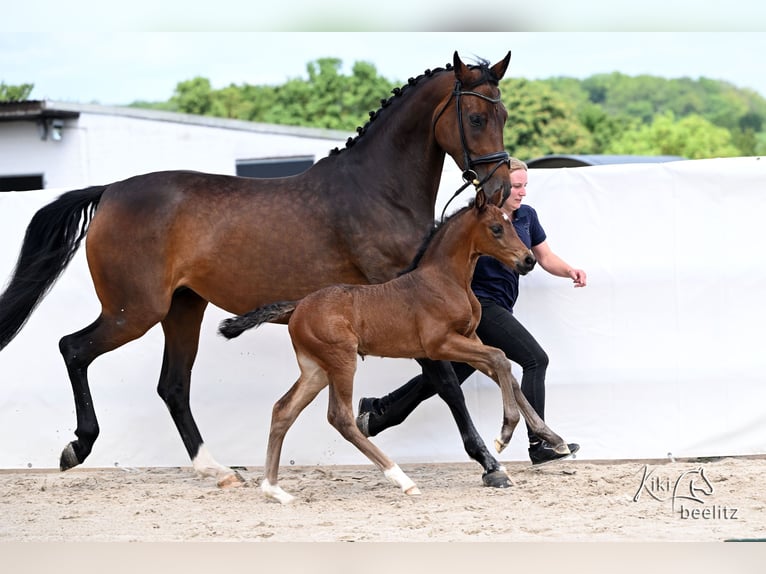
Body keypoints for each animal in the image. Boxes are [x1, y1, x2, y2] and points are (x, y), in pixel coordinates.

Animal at [0, 51, 516, 488]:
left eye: (505, 116)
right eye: (475, 118)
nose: (501, 189)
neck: (377, 192)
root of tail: (109, 192)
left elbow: (454, 376)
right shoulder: (413, 312)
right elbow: (447, 383)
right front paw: (489, 463)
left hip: (183, 309)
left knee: (173, 385)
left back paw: (217, 469)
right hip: (134, 311)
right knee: (74, 349)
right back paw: (77, 446)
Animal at [218, 188, 570, 503]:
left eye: (511, 223)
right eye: (496, 228)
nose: (528, 260)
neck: (445, 280)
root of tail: (298, 306)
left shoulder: (470, 339)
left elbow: (505, 371)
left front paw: (554, 439)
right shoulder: (440, 345)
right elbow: (500, 359)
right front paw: (504, 436)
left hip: (315, 369)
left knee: (283, 410)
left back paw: (274, 490)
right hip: (342, 361)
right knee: (340, 417)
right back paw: (402, 479)